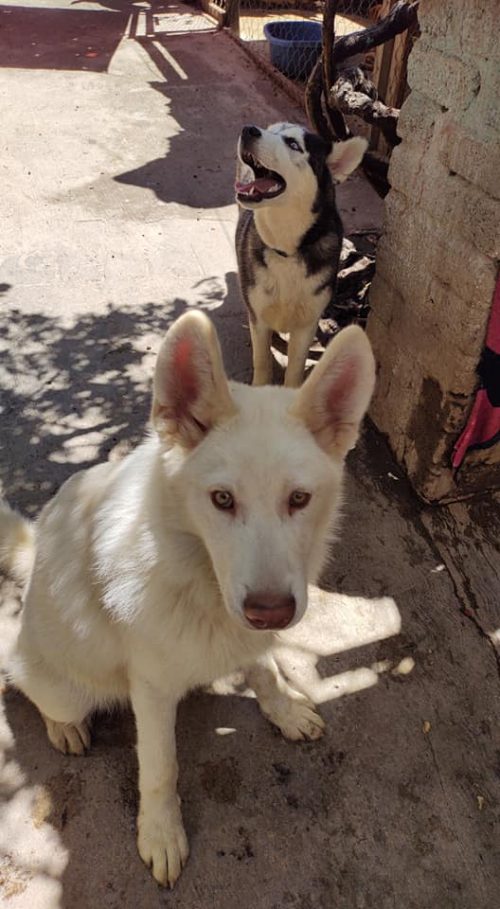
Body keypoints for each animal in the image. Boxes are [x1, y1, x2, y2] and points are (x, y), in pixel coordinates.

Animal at [0, 312, 376, 888]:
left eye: (299, 499)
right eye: (221, 499)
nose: (271, 611)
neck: (196, 581)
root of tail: (38, 546)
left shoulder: (250, 635)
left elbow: (266, 671)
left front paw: (285, 709)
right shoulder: (151, 691)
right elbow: (161, 767)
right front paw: (160, 832)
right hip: (60, 682)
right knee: (25, 682)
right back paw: (63, 725)